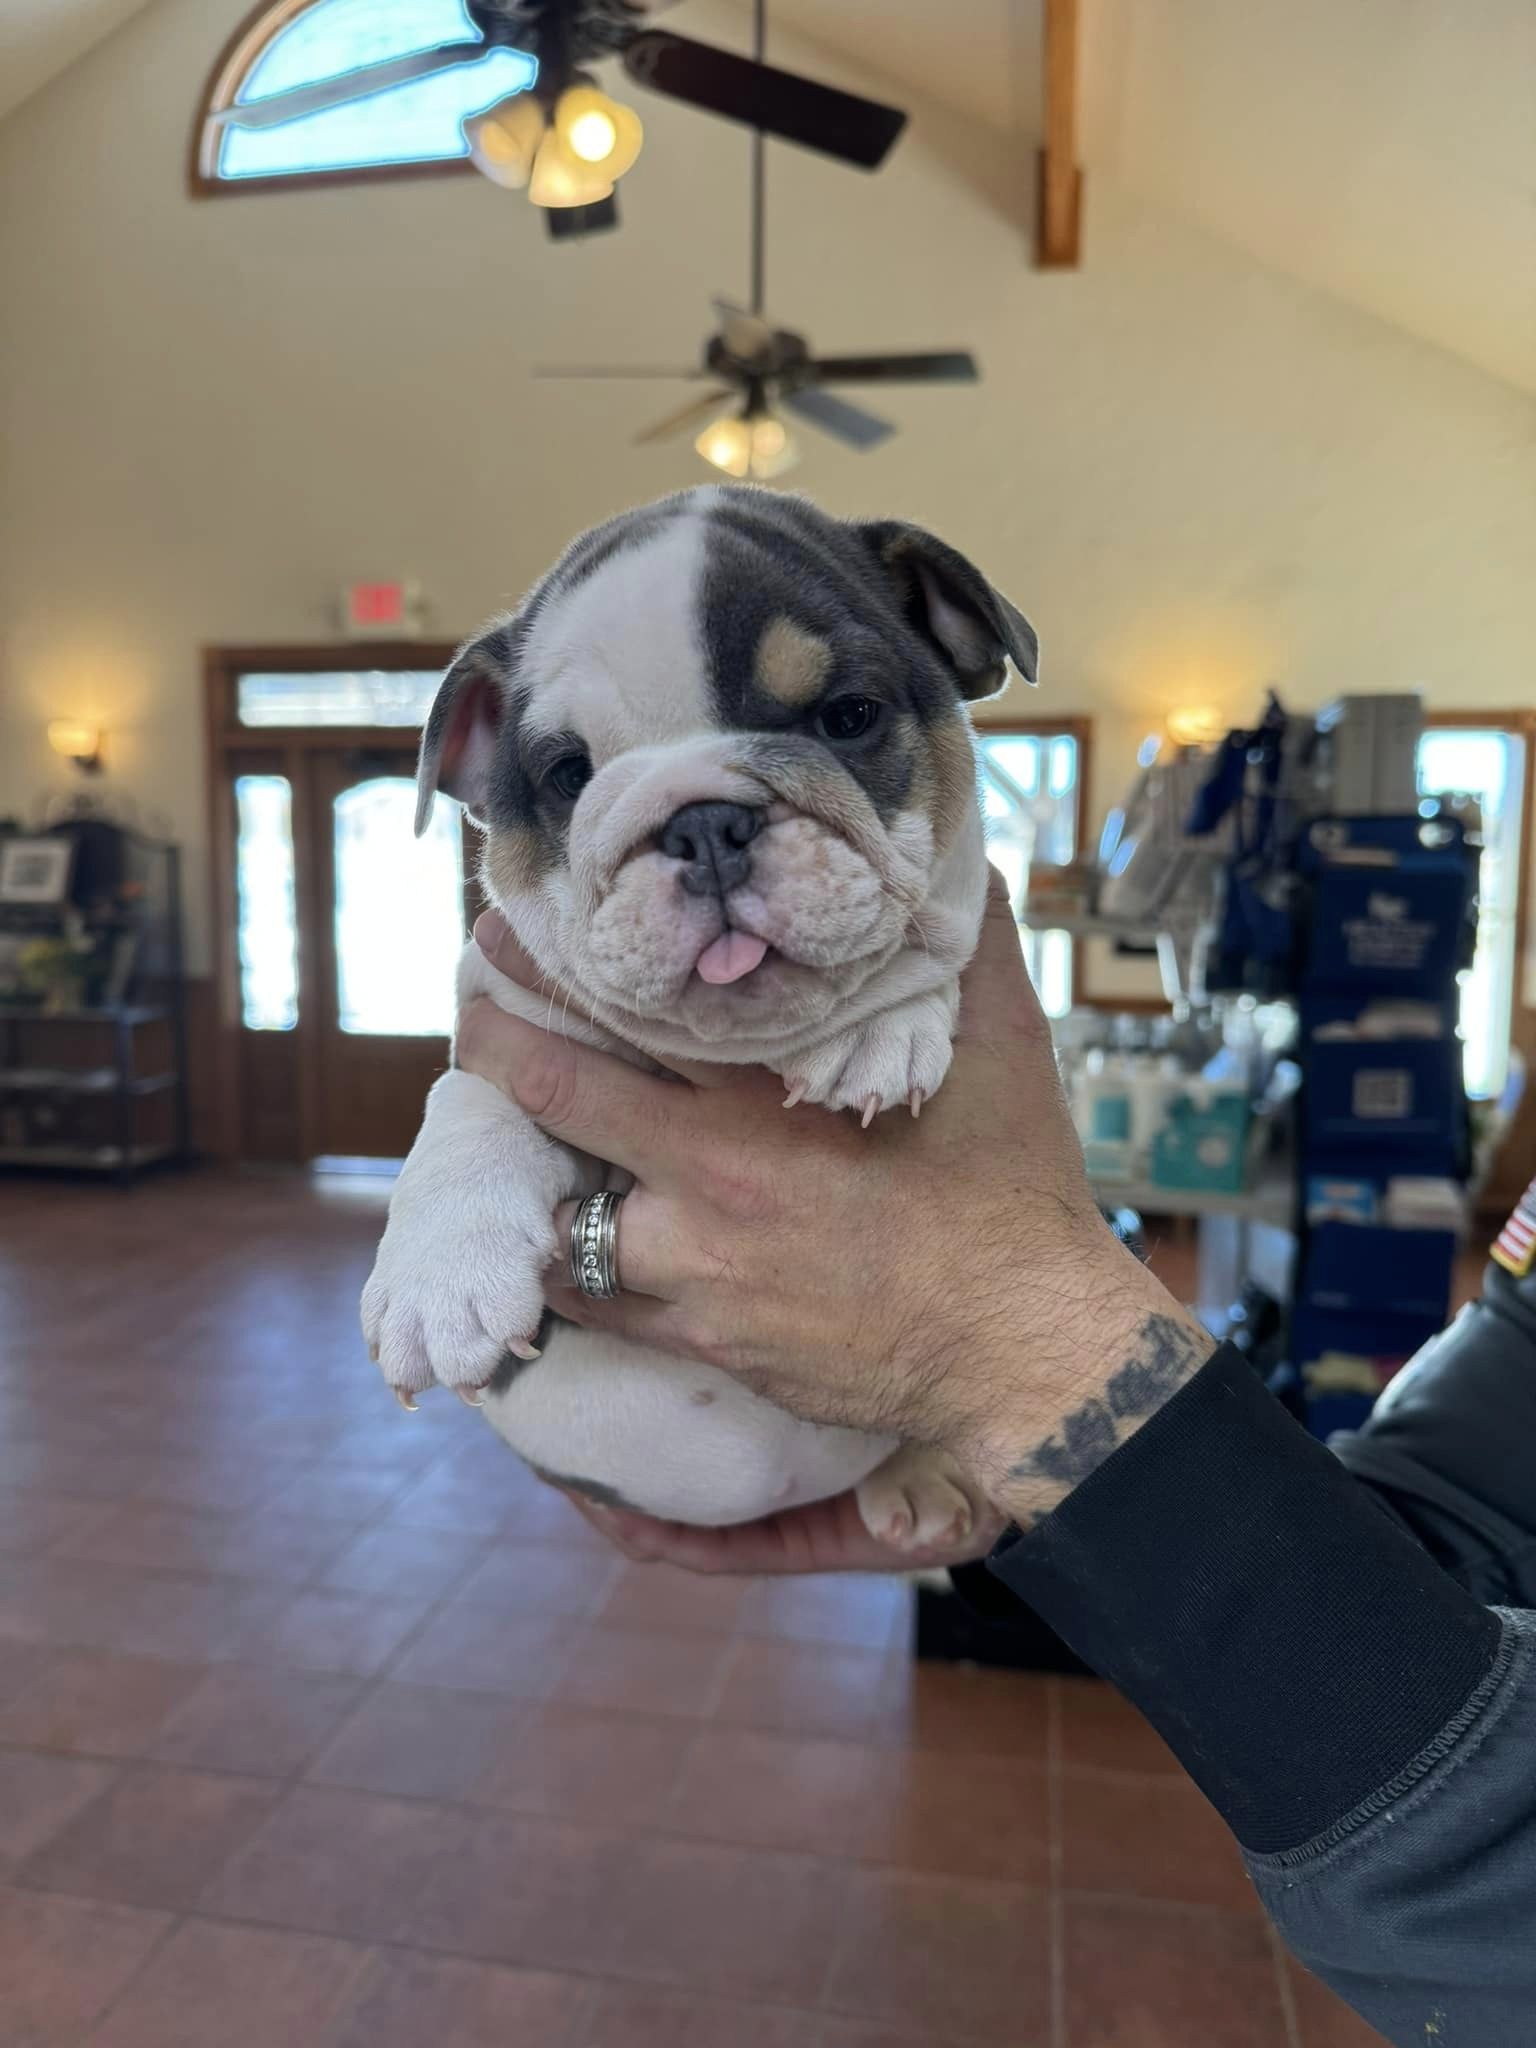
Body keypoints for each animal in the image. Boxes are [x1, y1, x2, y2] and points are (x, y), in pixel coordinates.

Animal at [364, 487, 1036, 1540]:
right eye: (567, 775)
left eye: (848, 717)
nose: (703, 821)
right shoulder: (505, 1022)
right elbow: (471, 1103)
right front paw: (440, 1271)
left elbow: (931, 943)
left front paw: (875, 1028)